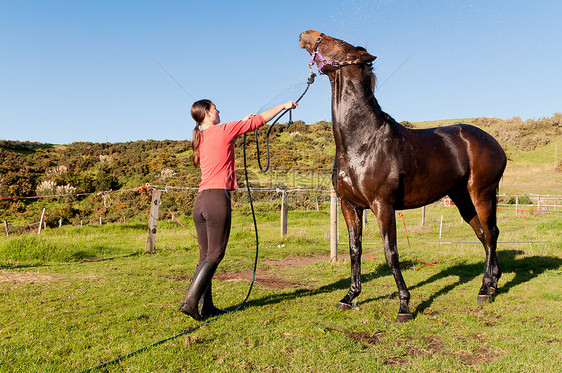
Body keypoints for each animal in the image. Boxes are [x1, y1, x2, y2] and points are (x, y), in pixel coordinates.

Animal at [300, 30, 506, 320]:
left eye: (338, 43)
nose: (307, 35)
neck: (362, 142)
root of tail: (495, 144)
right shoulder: (350, 205)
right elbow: (355, 250)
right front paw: (350, 297)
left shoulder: (382, 206)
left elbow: (391, 253)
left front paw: (404, 305)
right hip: (462, 198)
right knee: (484, 235)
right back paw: (493, 282)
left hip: (481, 194)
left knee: (490, 233)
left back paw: (485, 289)